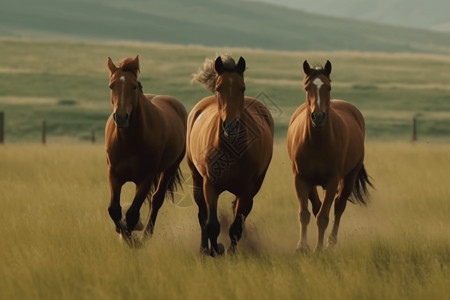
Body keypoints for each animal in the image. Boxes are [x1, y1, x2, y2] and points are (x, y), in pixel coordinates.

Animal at [105, 55, 186, 246]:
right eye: (112, 86)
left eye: (134, 86)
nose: (121, 117)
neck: (130, 142)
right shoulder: (114, 174)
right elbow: (114, 209)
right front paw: (123, 231)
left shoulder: (146, 178)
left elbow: (133, 213)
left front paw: (133, 238)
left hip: (170, 168)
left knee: (157, 199)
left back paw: (147, 234)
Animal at [187, 55, 272, 255]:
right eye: (219, 88)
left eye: (242, 87)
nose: (231, 127)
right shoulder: (209, 184)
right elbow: (211, 224)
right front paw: (216, 249)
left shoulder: (246, 190)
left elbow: (236, 227)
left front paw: (230, 253)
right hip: (196, 177)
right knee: (202, 214)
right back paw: (204, 249)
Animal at [288, 59, 372, 252]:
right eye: (307, 87)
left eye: (328, 87)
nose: (318, 117)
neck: (317, 143)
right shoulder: (301, 179)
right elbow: (305, 214)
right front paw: (302, 246)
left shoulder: (332, 181)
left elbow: (324, 217)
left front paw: (319, 248)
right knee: (317, 206)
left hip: (349, 177)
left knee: (339, 206)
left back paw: (330, 242)